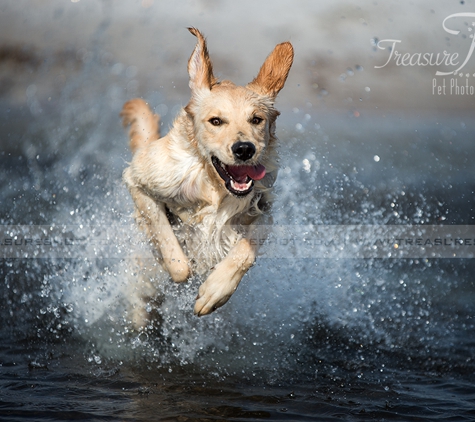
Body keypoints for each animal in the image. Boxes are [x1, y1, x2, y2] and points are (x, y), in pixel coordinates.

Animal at [122, 28, 294, 318]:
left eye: (256, 119)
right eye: (216, 121)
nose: (244, 149)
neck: (214, 189)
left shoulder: (263, 208)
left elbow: (247, 249)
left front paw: (216, 289)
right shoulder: (138, 179)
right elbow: (175, 256)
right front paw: (180, 266)